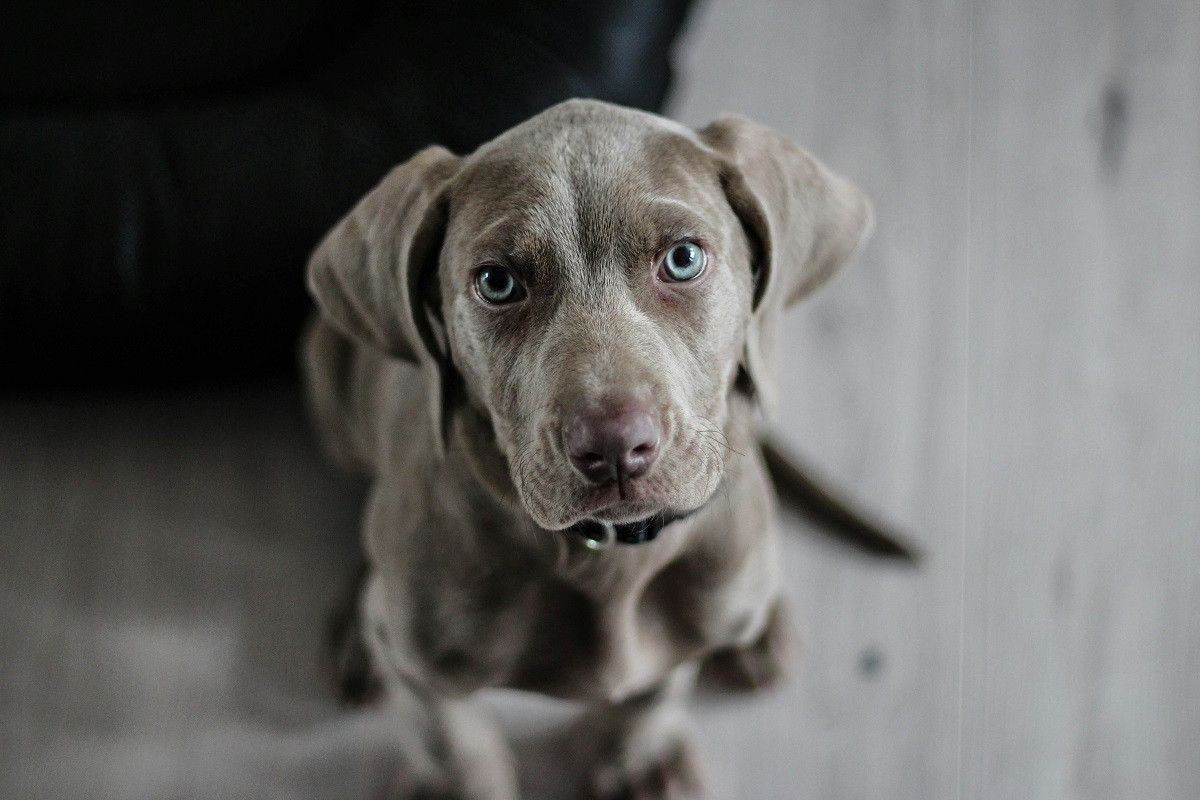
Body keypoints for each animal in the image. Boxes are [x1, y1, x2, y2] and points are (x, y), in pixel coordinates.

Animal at [304, 100, 878, 800]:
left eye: (683, 259)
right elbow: (448, 739)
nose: (614, 447)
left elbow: (656, 689)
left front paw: (638, 759)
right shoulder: (420, 665)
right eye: (497, 282)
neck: (606, 557)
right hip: (327, 378)